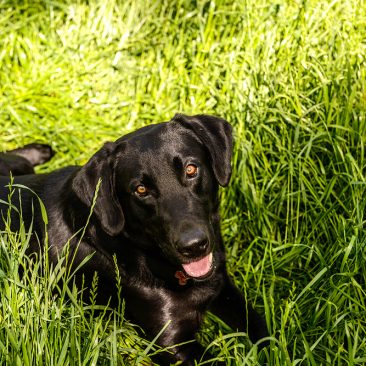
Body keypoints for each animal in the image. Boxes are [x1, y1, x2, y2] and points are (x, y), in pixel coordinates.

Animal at [0, 113, 268, 364]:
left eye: (191, 169)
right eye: (141, 189)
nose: (193, 246)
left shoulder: (223, 287)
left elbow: (263, 329)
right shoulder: (170, 342)